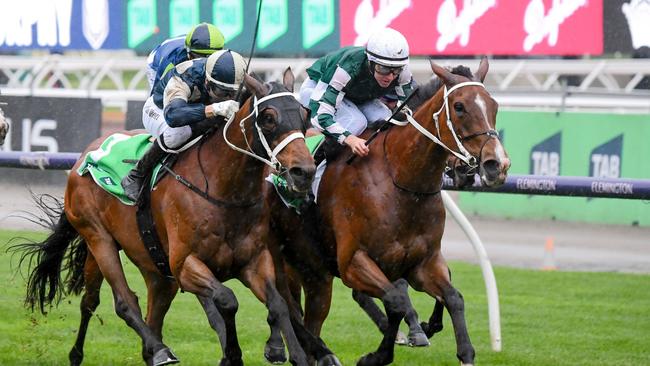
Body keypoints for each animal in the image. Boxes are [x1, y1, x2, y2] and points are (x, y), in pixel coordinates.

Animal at [9, 69, 324, 366]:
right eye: (268, 118)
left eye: (305, 115)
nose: (304, 172)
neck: (224, 191)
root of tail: (84, 157)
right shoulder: (185, 265)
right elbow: (227, 300)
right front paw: (233, 354)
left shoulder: (253, 261)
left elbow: (278, 304)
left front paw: (293, 354)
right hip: (98, 239)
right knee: (121, 302)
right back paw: (157, 350)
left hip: (153, 267)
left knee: (122, 306)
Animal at [268, 58, 506, 364]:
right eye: (459, 106)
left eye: (494, 105)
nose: (496, 164)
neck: (400, 181)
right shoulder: (354, 262)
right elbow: (397, 300)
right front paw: (378, 354)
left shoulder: (422, 262)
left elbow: (452, 298)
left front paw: (451, 344)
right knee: (290, 308)